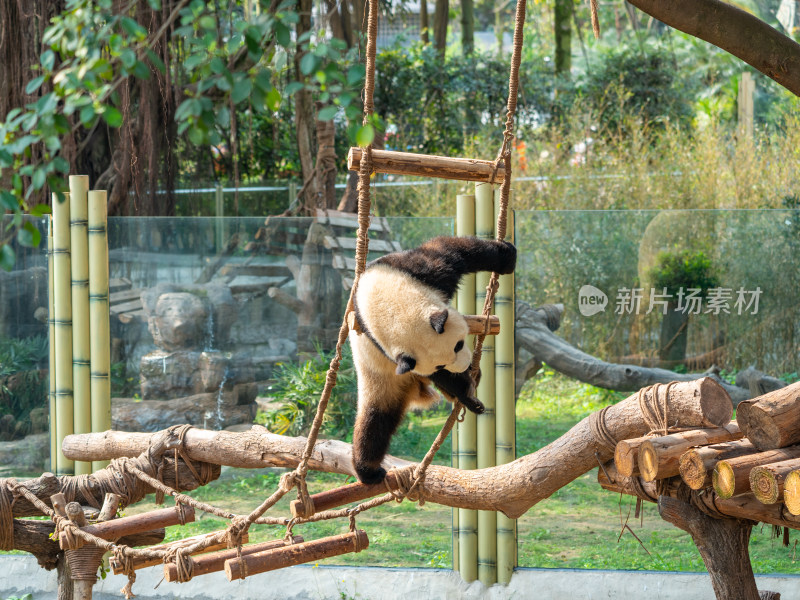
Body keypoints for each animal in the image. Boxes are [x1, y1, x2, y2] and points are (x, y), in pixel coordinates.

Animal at [352, 234, 520, 482]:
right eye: (441, 364)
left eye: (458, 345)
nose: (464, 366)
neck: (385, 304)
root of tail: (413, 389)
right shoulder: (384, 349)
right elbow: (441, 377)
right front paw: (466, 389)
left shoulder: (417, 272)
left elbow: (453, 252)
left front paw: (506, 257)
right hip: (380, 379)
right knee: (375, 421)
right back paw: (369, 471)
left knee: (375, 422)